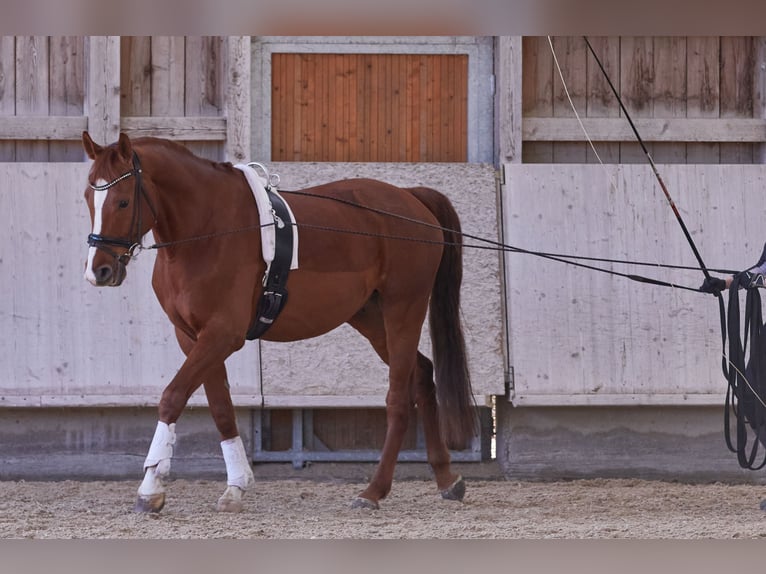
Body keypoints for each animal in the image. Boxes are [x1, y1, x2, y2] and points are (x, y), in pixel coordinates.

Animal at [81, 131, 476, 512]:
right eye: (88, 197)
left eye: (122, 202)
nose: (99, 271)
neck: (207, 228)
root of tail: (411, 199)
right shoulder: (193, 337)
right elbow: (221, 408)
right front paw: (236, 487)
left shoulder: (222, 335)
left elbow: (172, 397)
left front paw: (150, 490)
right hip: (370, 317)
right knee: (421, 374)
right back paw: (446, 479)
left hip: (403, 308)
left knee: (398, 398)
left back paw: (374, 491)